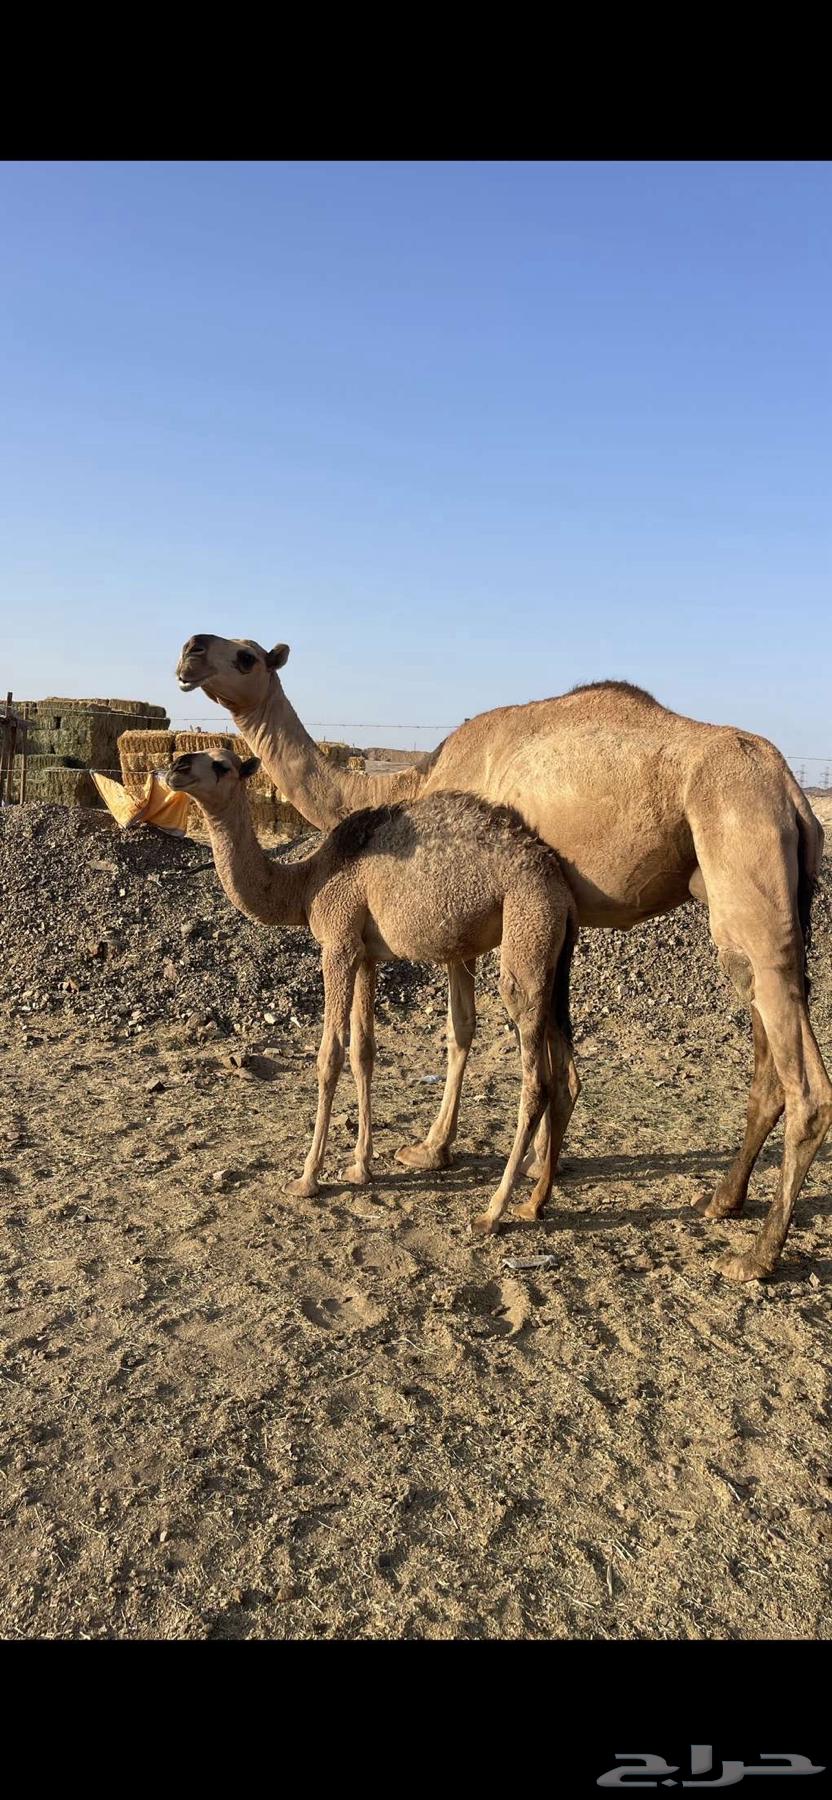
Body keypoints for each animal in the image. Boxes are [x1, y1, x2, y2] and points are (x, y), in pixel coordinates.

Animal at [165, 749, 579, 1235]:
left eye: (222, 765)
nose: (176, 766)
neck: (307, 884)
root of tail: (561, 890)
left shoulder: (338, 943)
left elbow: (329, 1057)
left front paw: (307, 1177)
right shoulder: (366, 955)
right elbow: (364, 1051)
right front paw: (360, 1166)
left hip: (526, 933)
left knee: (535, 1080)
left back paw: (493, 1211)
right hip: (551, 955)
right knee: (561, 1072)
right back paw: (534, 1202)